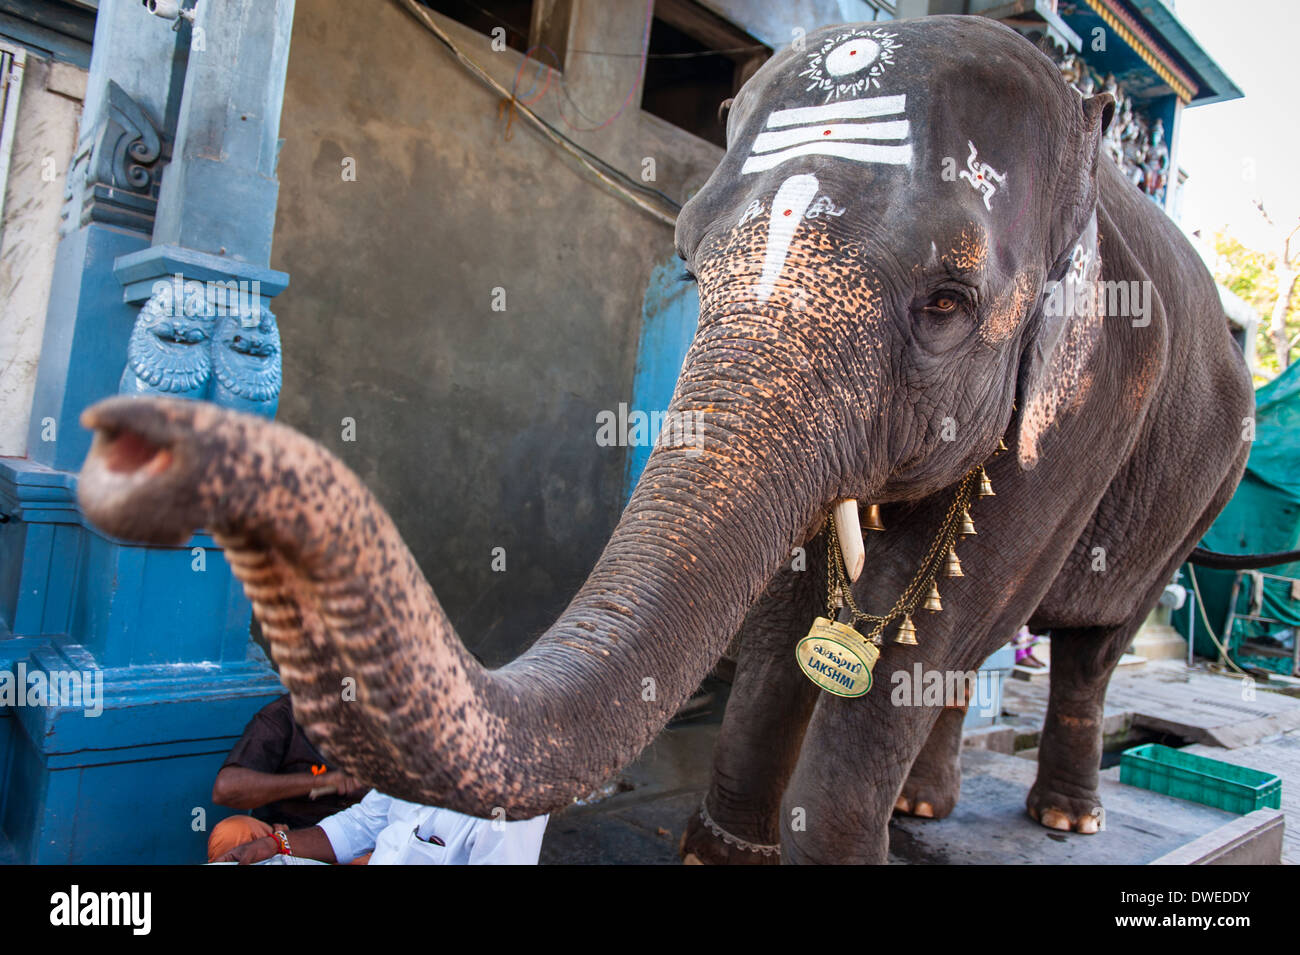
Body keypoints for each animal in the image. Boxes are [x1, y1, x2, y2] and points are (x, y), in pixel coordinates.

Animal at [73, 14, 1268, 867]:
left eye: (945, 302)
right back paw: (929, 807)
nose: (130, 448)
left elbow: (924, 632)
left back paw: (1064, 821)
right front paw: (719, 853)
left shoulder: (1090, 412)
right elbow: (795, 600)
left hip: (1202, 485)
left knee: (1087, 639)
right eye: (689, 263)